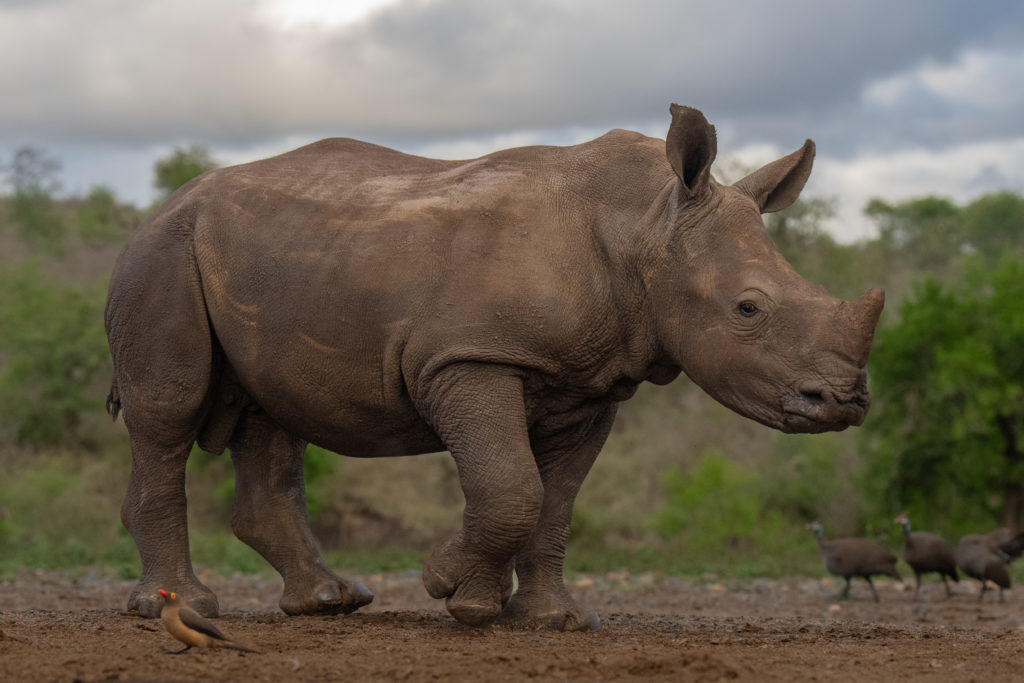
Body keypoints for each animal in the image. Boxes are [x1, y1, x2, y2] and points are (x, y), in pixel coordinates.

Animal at [108, 104, 884, 634]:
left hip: (271, 263)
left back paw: (330, 602)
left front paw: (552, 619)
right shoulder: (468, 357)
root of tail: (162, 205)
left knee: (271, 416)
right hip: (162, 256)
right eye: (748, 308)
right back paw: (181, 607)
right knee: (168, 413)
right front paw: (455, 592)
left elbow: (556, 500)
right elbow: (511, 484)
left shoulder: (590, 383)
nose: (843, 400)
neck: (643, 226)